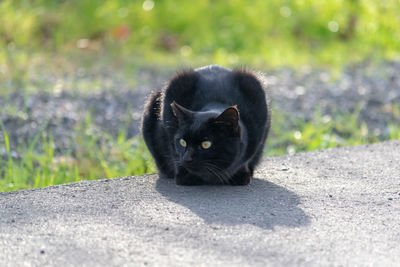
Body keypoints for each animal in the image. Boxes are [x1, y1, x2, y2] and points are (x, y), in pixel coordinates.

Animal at [142, 65, 270, 186]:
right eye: (182, 142)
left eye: (206, 144)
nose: (187, 159)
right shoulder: (172, 95)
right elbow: (173, 149)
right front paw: (185, 176)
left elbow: (245, 159)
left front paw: (240, 175)